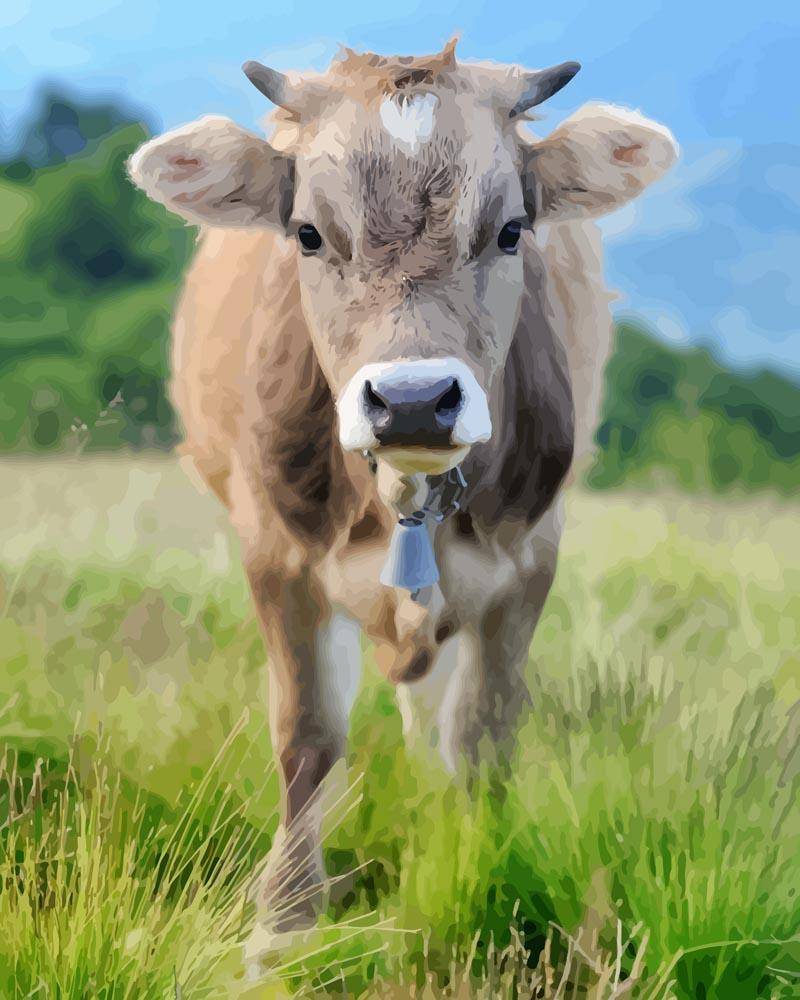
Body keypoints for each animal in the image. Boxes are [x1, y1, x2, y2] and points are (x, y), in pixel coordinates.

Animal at [128, 37, 680, 944]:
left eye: (510, 231)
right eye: (308, 233)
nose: (415, 399)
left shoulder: (529, 563)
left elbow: (484, 734)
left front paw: (475, 868)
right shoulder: (275, 554)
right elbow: (307, 733)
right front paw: (284, 922)